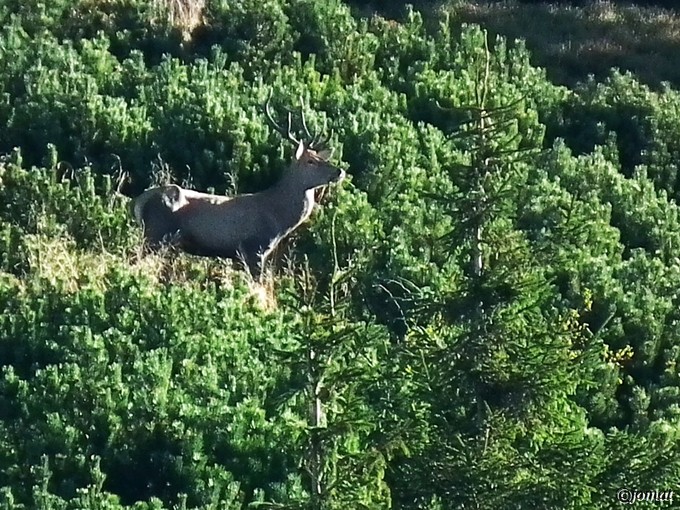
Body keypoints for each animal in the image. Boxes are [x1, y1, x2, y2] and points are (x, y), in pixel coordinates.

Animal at [130, 91, 346, 274]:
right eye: (310, 161)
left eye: (320, 157)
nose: (339, 171)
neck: (277, 217)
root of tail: (139, 201)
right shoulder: (254, 249)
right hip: (156, 234)